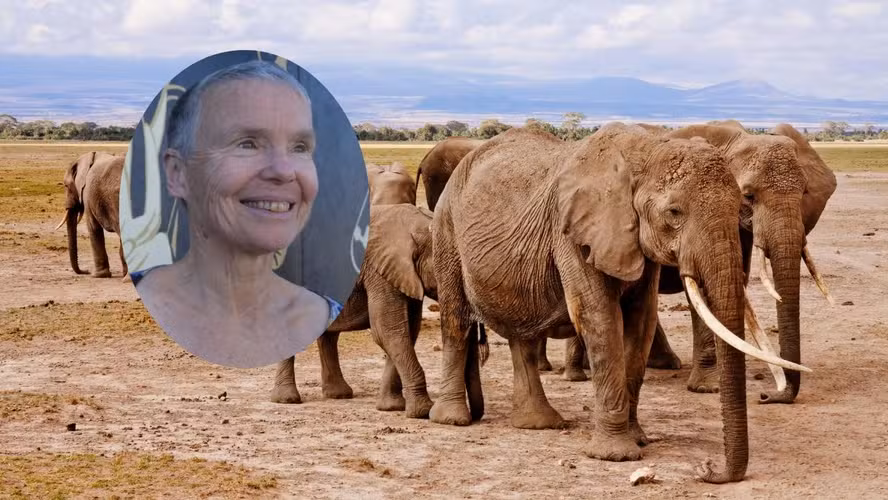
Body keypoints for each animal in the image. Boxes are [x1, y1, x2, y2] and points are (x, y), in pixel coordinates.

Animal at [428, 123, 809, 483]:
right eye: (674, 212)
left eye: (739, 205)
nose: (708, 468)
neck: (645, 152)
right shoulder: (573, 234)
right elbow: (600, 319)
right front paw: (616, 455)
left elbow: (641, 322)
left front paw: (638, 438)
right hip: (446, 230)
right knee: (456, 320)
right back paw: (452, 419)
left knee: (523, 335)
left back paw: (537, 423)